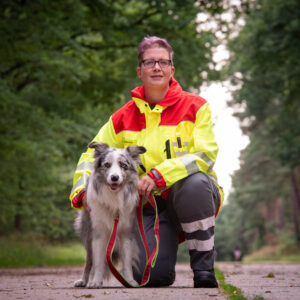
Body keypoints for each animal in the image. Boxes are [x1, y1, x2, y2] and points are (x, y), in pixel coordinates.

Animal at [74, 143, 146, 288]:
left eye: (123, 165)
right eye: (107, 165)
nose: (114, 178)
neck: (114, 197)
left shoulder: (126, 234)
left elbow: (127, 262)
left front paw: (130, 281)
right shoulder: (99, 234)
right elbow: (98, 262)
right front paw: (95, 281)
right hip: (88, 235)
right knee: (89, 261)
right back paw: (83, 281)